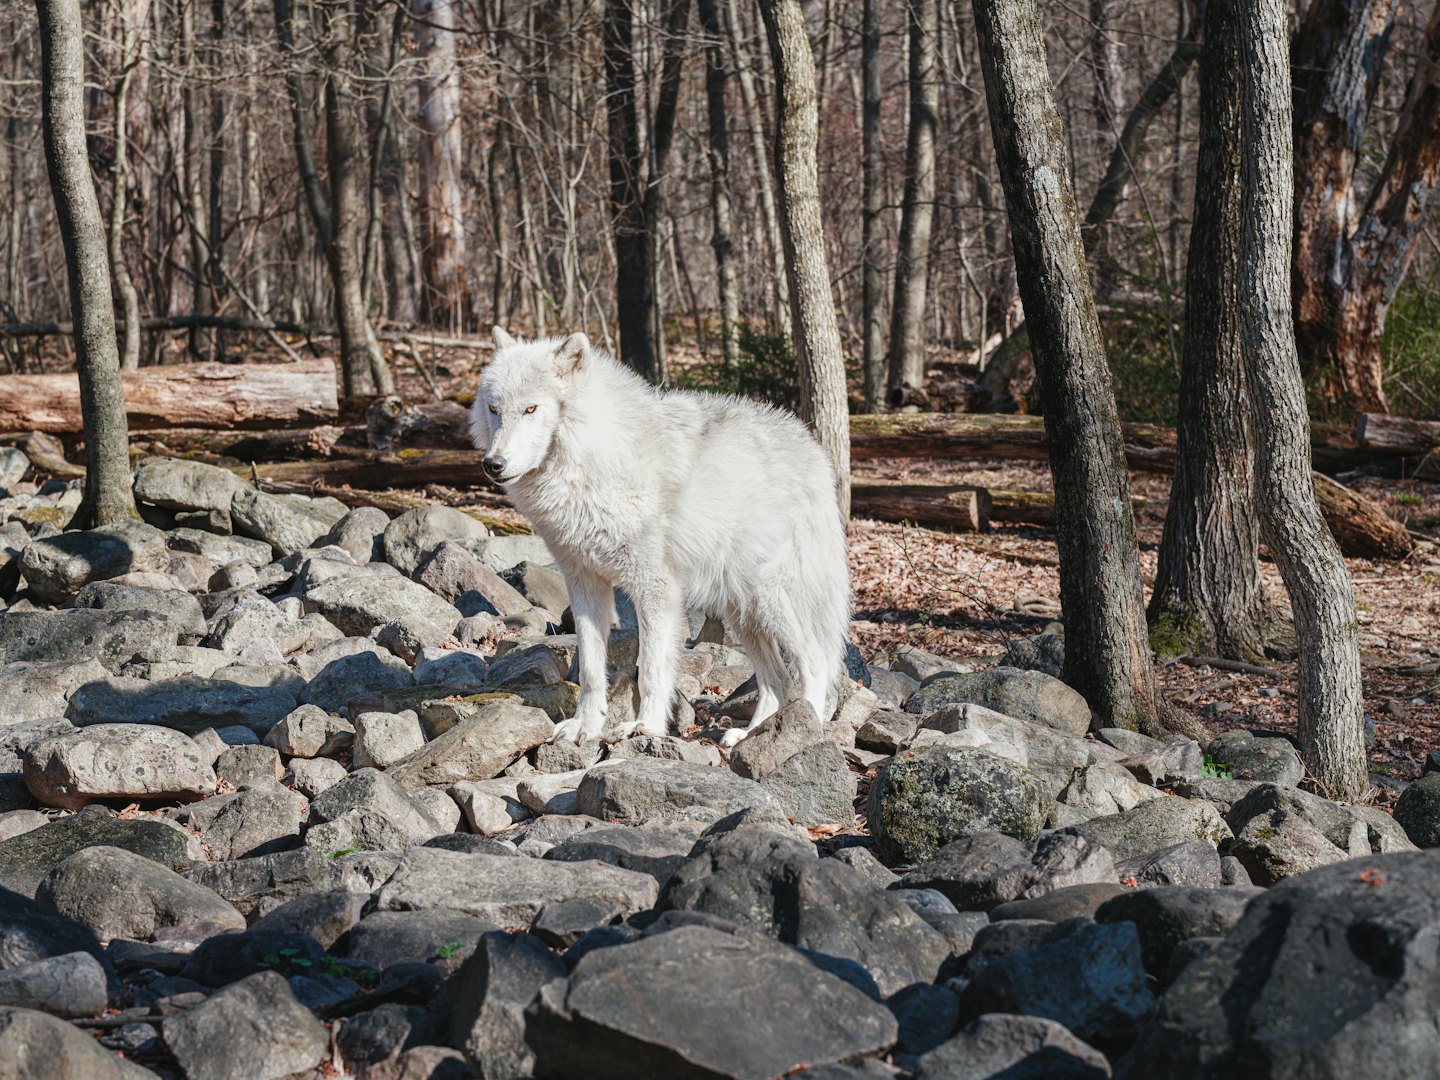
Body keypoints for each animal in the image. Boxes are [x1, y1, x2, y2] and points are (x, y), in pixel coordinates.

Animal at [470, 327, 851, 747]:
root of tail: (812, 449)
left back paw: (804, 730)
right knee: (777, 680)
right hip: (743, 612)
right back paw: (752, 736)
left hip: (771, 599)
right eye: (494, 409)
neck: (592, 461)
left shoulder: (655, 586)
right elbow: (590, 669)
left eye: (531, 409)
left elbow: (651, 667)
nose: (493, 464)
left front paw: (646, 725)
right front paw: (584, 726)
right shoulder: (585, 583)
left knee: (814, 663)